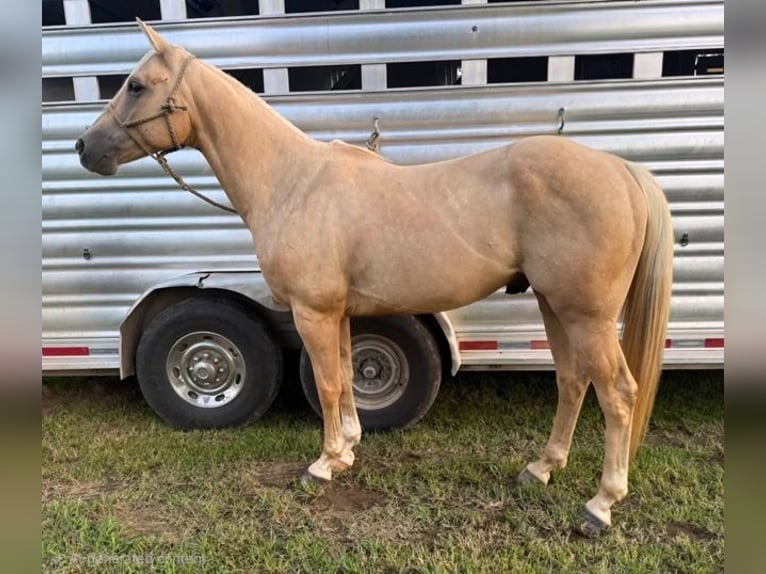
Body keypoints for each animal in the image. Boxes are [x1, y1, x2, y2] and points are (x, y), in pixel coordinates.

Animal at [75, 20, 673, 533]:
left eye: (135, 85)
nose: (84, 148)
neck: (293, 183)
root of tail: (622, 170)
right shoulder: (337, 313)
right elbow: (342, 377)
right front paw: (347, 451)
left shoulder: (313, 312)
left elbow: (330, 383)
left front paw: (321, 465)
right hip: (556, 306)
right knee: (573, 381)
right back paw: (542, 469)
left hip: (586, 315)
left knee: (618, 394)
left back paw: (600, 504)